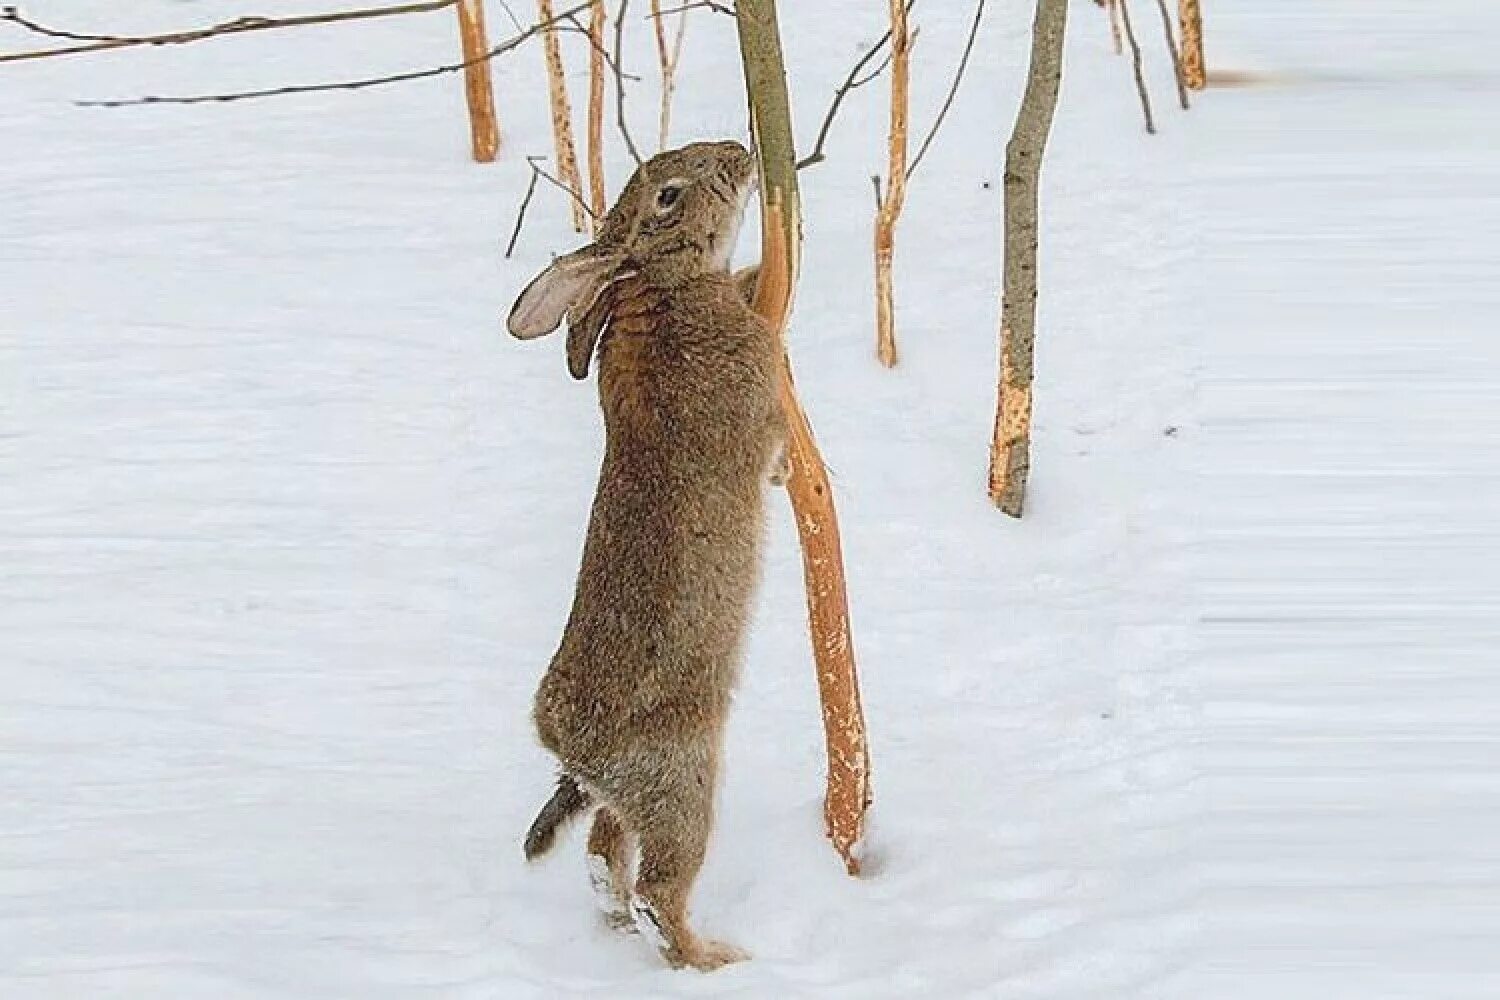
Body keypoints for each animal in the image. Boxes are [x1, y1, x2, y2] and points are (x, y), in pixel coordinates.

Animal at [507, 138, 786, 971]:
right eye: (667, 195)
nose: (739, 151)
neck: (660, 286)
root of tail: (570, 749)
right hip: (682, 781)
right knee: (658, 889)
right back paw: (717, 960)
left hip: (629, 803)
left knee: (604, 858)